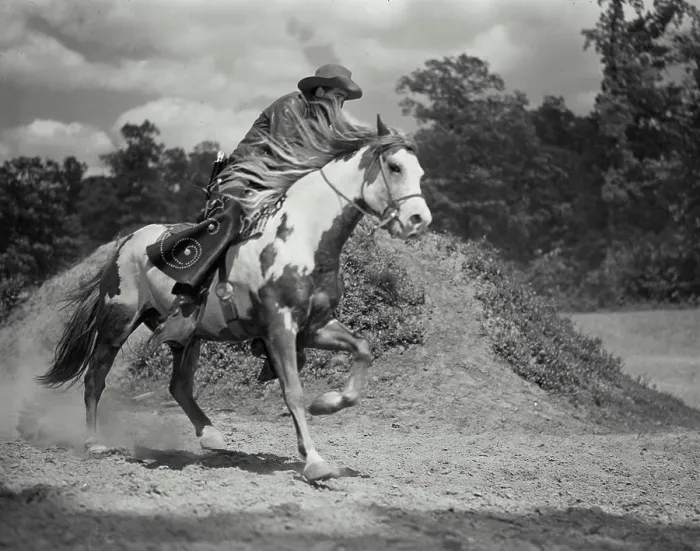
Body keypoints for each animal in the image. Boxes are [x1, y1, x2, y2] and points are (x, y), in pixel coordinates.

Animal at [36, 107, 432, 482]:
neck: (304, 237)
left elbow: (362, 349)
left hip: (187, 335)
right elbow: (293, 391)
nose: (419, 220)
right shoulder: (279, 328)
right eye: (395, 166)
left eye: (420, 172)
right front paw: (315, 462)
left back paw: (210, 436)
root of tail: (125, 243)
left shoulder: (315, 326)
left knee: (179, 386)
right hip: (117, 321)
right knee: (95, 377)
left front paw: (328, 403)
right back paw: (94, 442)